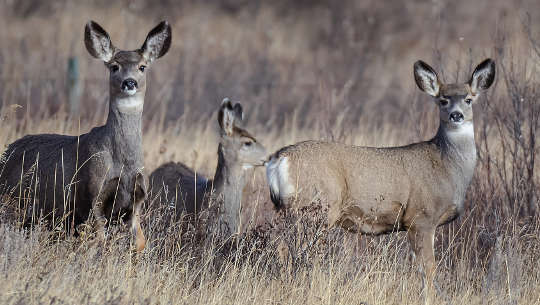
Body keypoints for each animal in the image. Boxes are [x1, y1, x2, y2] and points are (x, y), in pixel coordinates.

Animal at [0, 20, 172, 251]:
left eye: (142, 67)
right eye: (114, 66)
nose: (129, 82)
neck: (123, 163)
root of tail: (7, 152)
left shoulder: (136, 201)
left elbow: (140, 243)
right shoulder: (92, 193)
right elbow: (99, 242)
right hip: (14, 201)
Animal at [264, 58, 496, 288]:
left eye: (468, 99)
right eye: (443, 100)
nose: (456, 115)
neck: (447, 167)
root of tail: (279, 158)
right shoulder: (421, 217)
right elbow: (428, 270)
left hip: (287, 209)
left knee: (280, 244)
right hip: (316, 206)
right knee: (294, 248)